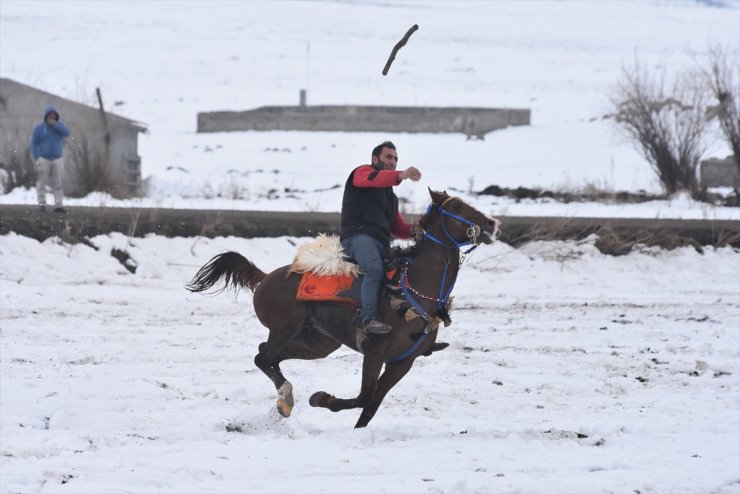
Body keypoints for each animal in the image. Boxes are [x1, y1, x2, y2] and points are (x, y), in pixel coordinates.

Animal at [186, 189, 498, 428]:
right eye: (456, 207)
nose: (492, 223)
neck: (414, 290)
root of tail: (265, 277)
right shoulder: (375, 353)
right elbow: (364, 396)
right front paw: (321, 399)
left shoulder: (402, 362)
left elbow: (372, 404)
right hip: (286, 327)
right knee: (264, 357)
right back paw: (287, 398)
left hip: (318, 343)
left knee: (267, 354)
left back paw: (284, 399)